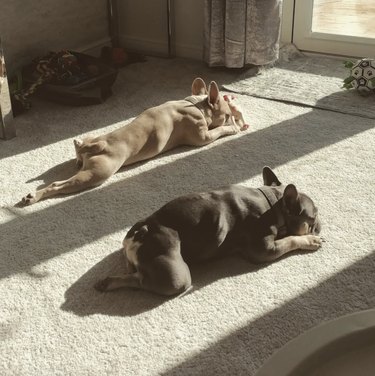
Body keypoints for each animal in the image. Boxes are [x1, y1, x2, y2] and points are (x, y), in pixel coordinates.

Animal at [22, 77, 248, 204]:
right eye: (227, 114)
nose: (233, 117)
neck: (195, 105)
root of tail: (93, 145)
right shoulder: (202, 137)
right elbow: (219, 131)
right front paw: (233, 126)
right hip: (96, 174)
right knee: (59, 184)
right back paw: (34, 197)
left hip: (88, 149)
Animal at [96, 168, 324, 296]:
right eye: (314, 217)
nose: (320, 223)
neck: (273, 202)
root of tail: (142, 231)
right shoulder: (263, 249)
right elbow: (290, 241)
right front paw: (310, 239)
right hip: (176, 276)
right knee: (142, 281)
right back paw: (111, 282)